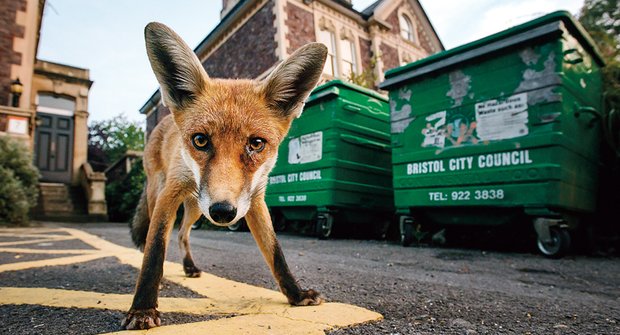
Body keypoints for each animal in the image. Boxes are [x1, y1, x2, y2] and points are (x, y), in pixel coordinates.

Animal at [120, 23, 324, 330]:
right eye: (200, 140)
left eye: (256, 144)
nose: (223, 212)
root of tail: (164, 119)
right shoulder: (170, 194)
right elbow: (155, 250)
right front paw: (143, 308)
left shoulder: (254, 199)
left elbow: (275, 252)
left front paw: (296, 294)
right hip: (163, 194)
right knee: (156, 237)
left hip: (195, 207)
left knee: (182, 234)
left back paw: (189, 267)